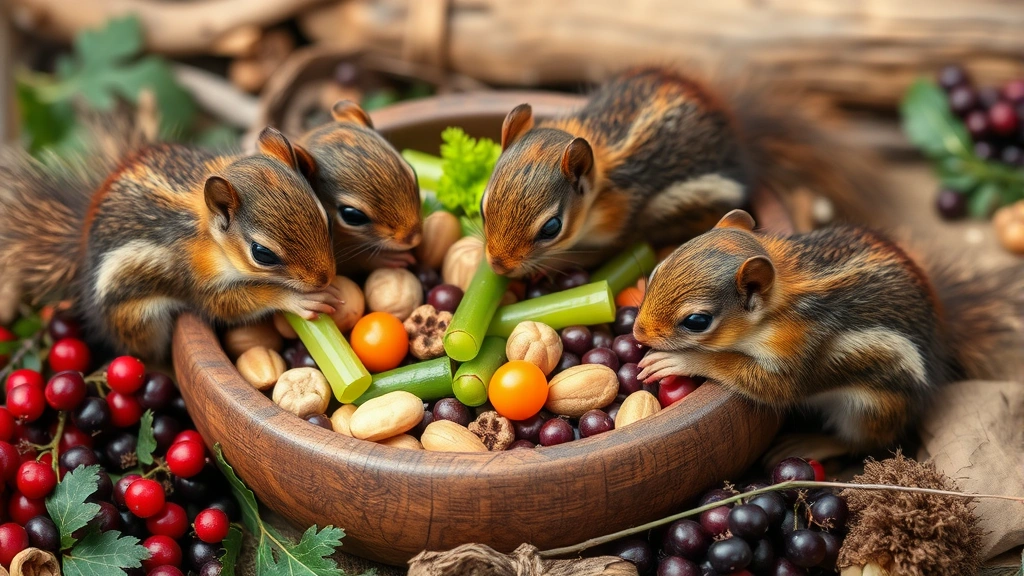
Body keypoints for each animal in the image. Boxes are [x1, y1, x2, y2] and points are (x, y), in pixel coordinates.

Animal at [0, 119, 339, 361]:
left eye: (324, 216)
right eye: (262, 253)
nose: (325, 278)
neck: (210, 238)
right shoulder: (195, 277)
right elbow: (231, 304)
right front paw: (297, 299)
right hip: (138, 321)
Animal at [633, 209, 1024, 449]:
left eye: (696, 322)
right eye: (657, 270)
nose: (638, 333)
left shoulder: (802, 345)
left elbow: (769, 385)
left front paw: (682, 361)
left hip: (871, 410)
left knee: (856, 442)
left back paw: (809, 444)